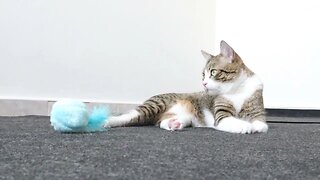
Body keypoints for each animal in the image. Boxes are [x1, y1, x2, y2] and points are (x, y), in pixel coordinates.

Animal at [104, 40, 268, 134]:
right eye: (203, 75)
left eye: (213, 72)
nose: (204, 83)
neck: (236, 90)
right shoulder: (221, 113)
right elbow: (228, 119)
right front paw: (244, 126)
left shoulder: (257, 110)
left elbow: (261, 125)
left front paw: (254, 126)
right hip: (155, 104)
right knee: (129, 116)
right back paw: (107, 121)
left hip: (183, 115)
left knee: (162, 121)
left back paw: (174, 123)